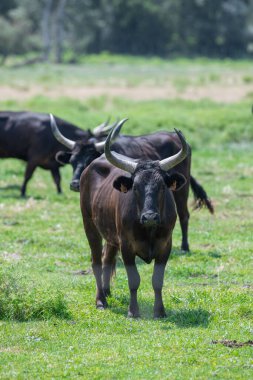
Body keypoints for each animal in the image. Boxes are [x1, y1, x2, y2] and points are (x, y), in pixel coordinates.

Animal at [50, 116, 212, 252]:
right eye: (72, 161)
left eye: (89, 159)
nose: (75, 184)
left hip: (181, 191)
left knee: (184, 214)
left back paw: (185, 247)